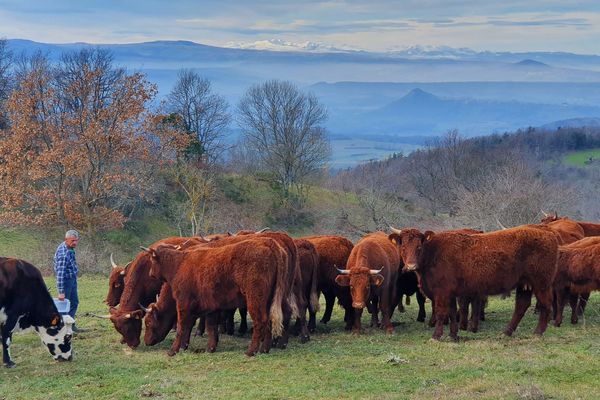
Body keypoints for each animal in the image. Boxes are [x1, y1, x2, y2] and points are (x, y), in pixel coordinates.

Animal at [144, 238, 288, 356]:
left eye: (148, 322)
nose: (146, 341)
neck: (179, 264)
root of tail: (268, 243)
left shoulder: (183, 304)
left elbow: (182, 327)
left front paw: (173, 350)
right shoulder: (211, 307)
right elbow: (211, 327)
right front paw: (210, 348)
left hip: (255, 300)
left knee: (260, 321)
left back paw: (251, 351)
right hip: (268, 301)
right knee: (269, 320)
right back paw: (264, 349)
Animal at [390, 227, 556, 340]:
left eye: (419, 247)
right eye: (403, 247)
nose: (410, 266)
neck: (433, 252)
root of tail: (546, 233)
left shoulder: (442, 293)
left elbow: (441, 313)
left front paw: (436, 336)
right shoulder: (451, 294)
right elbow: (452, 313)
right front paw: (453, 335)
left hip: (541, 284)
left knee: (546, 305)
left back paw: (538, 332)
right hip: (524, 285)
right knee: (521, 306)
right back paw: (506, 332)